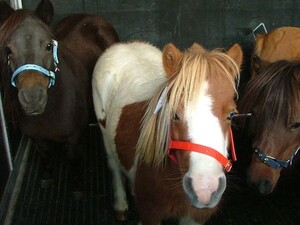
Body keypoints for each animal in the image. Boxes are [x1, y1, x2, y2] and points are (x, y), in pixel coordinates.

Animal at [0, 0, 119, 194]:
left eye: (49, 46)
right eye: (8, 50)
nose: (33, 98)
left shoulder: (73, 138)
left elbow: (73, 159)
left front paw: (77, 186)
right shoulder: (37, 138)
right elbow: (45, 155)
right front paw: (47, 177)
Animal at [92, 41, 244, 224]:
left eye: (232, 114)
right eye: (174, 114)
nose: (204, 188)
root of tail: (124, 46)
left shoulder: (194, 217)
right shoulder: (150, 214)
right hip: (105, 135)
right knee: (114, 165)